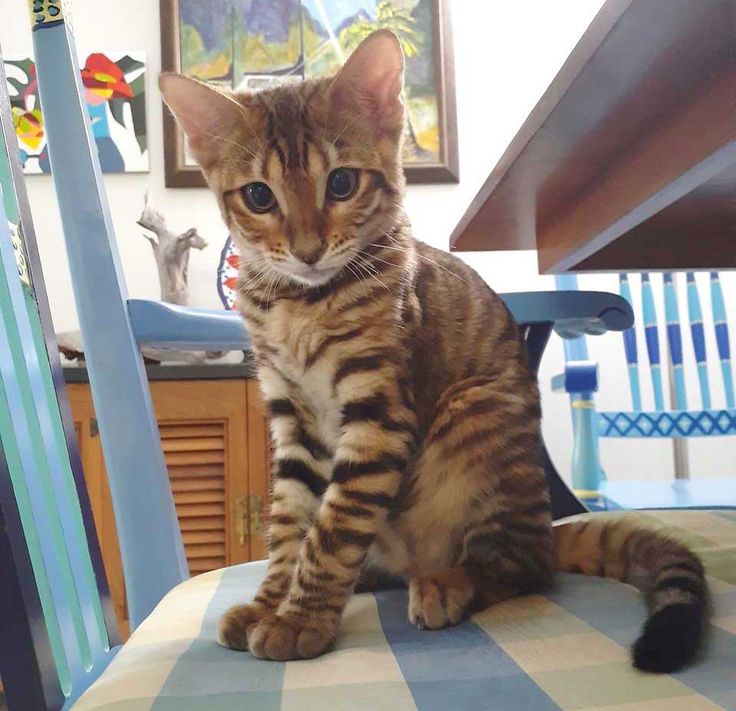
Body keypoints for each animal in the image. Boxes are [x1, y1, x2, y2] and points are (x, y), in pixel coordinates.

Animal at [160, 29, 708, 672]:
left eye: (341, 183)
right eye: (258, 195)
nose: (307, 250)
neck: (301, 305)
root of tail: (543, 528)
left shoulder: (378, 412)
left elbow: (334, 525)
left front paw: (299, 619)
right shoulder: (293, 420)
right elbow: (291, 521)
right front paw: (272, 602)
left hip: (474, 419)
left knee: (521, 569)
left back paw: (450, 583)